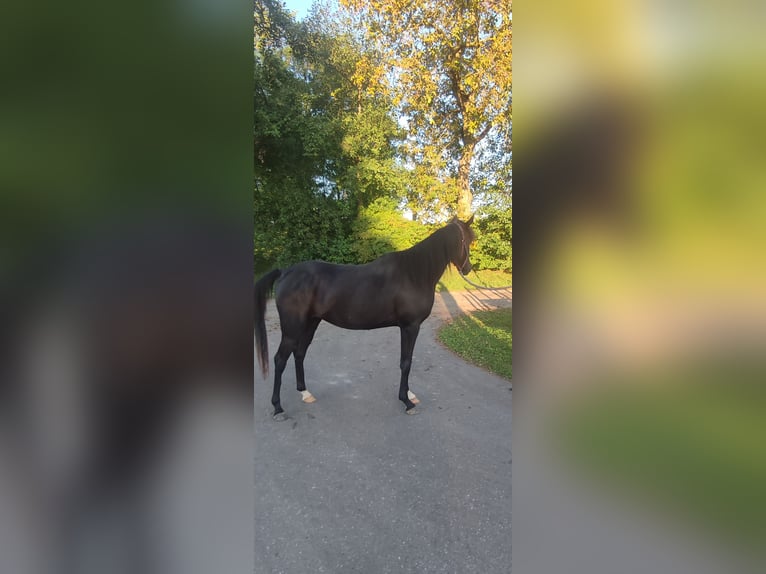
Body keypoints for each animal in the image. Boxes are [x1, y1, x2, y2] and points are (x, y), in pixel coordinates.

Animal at [255, 216, 476, 418]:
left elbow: (407, 360)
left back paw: (305, 393)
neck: (414, 274)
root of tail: (285, 272)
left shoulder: (408, 327)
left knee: (299, 353)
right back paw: (278, 407)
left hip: (311, 323)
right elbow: (406, 362)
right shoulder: (410, 326)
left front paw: (410, 395)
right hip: (292, 329)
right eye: (467, 239)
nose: (468, 269)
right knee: (280, 359)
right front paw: (407, 401)